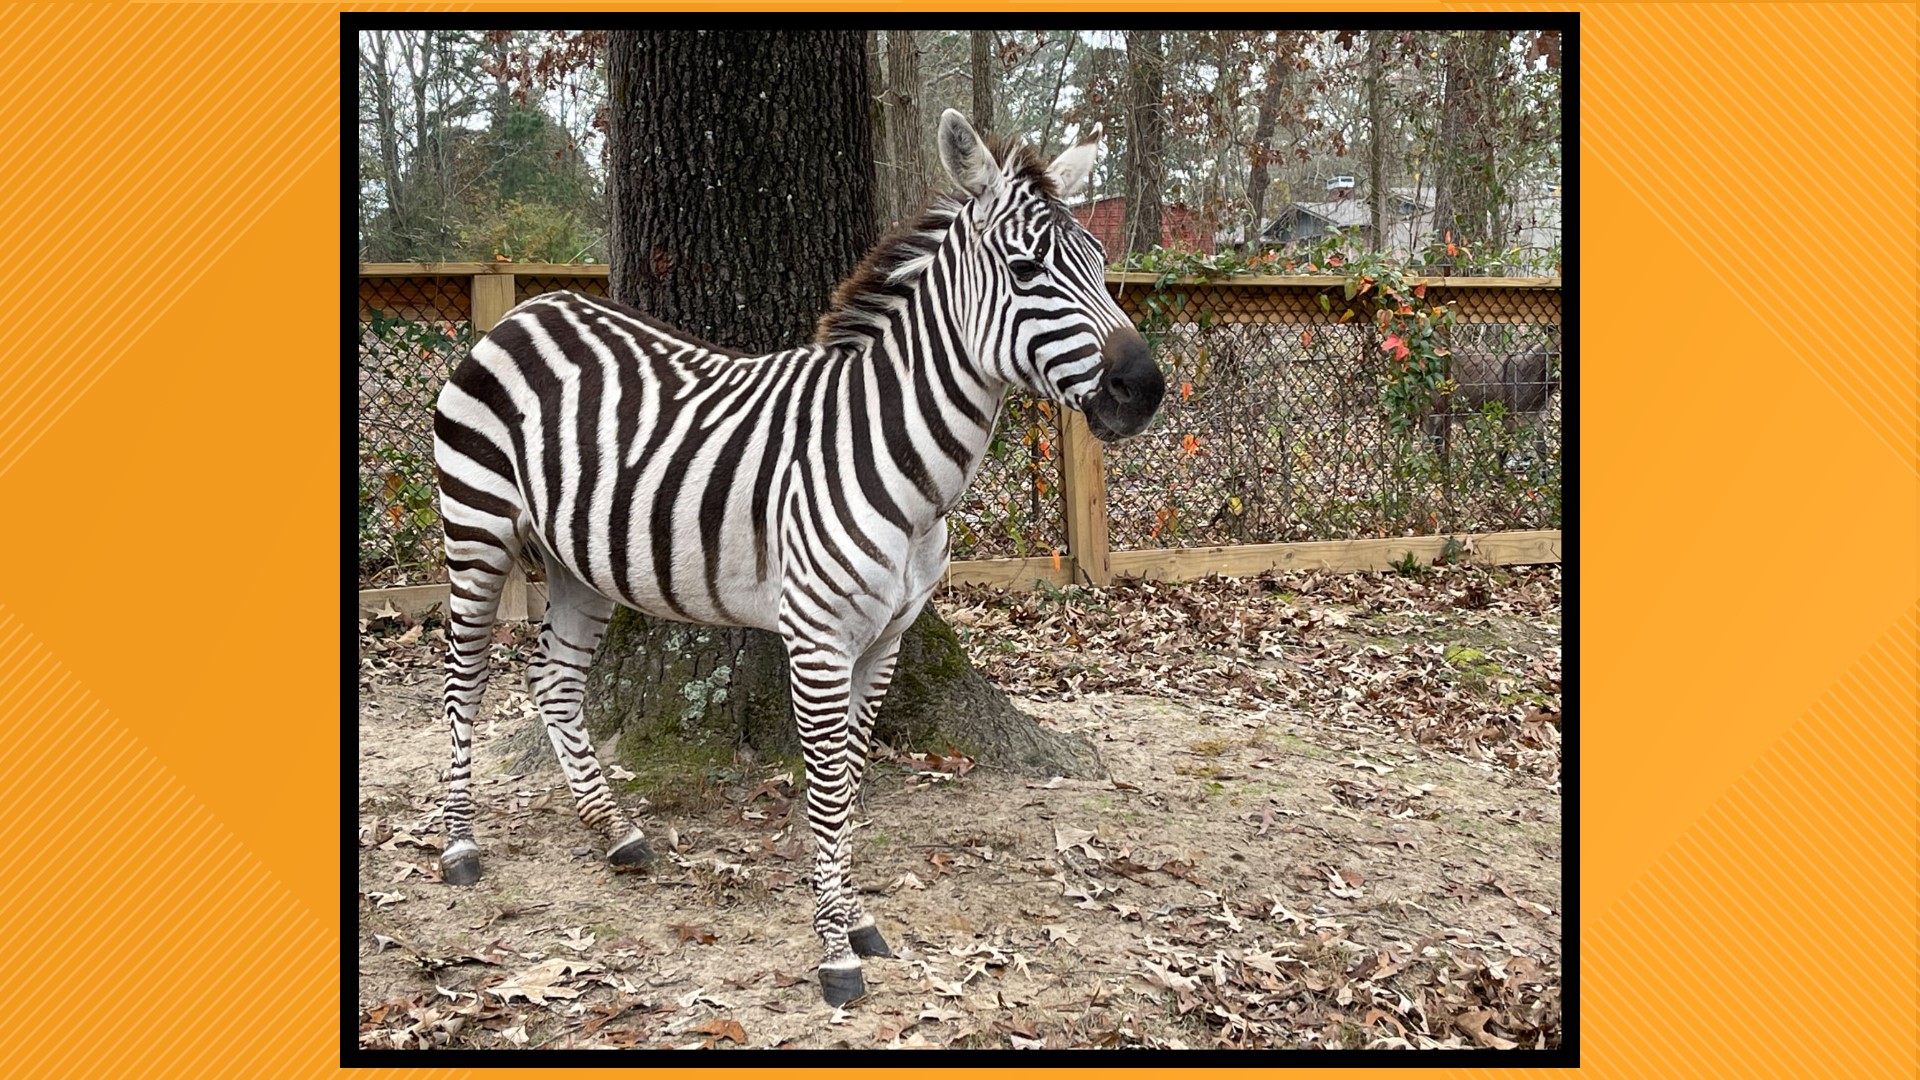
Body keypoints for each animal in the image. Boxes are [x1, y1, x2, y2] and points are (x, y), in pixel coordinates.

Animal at [430, 109, 1164, 1005]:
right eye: (1027, 269)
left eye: (1099, 264)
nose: (1145, 389)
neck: (898, 456)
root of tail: (529, 308)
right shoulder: (815, 639)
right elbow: (823, 789)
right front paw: (835, 952)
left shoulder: (886, 640)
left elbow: (850, 779)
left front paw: (857, 920)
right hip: (477, 526)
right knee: (464, 681)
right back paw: (460, 846)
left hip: (581, 558)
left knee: (555, 680)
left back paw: (615, 833)